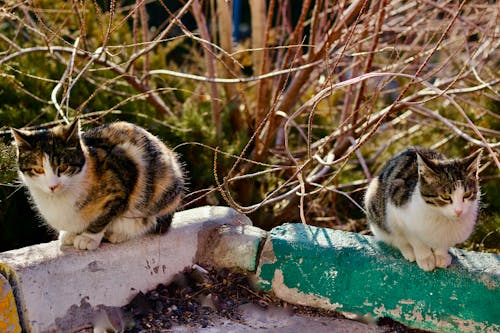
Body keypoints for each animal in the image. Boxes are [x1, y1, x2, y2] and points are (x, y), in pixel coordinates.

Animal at [11, 119, 184, 249]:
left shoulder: (121, 180)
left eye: (63, 167)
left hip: (162, 191)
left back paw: (120, 233)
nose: (53, 186)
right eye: (38, 169)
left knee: (151, 221)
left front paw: (88, 238)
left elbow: (104, 216)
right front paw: (71, 233)